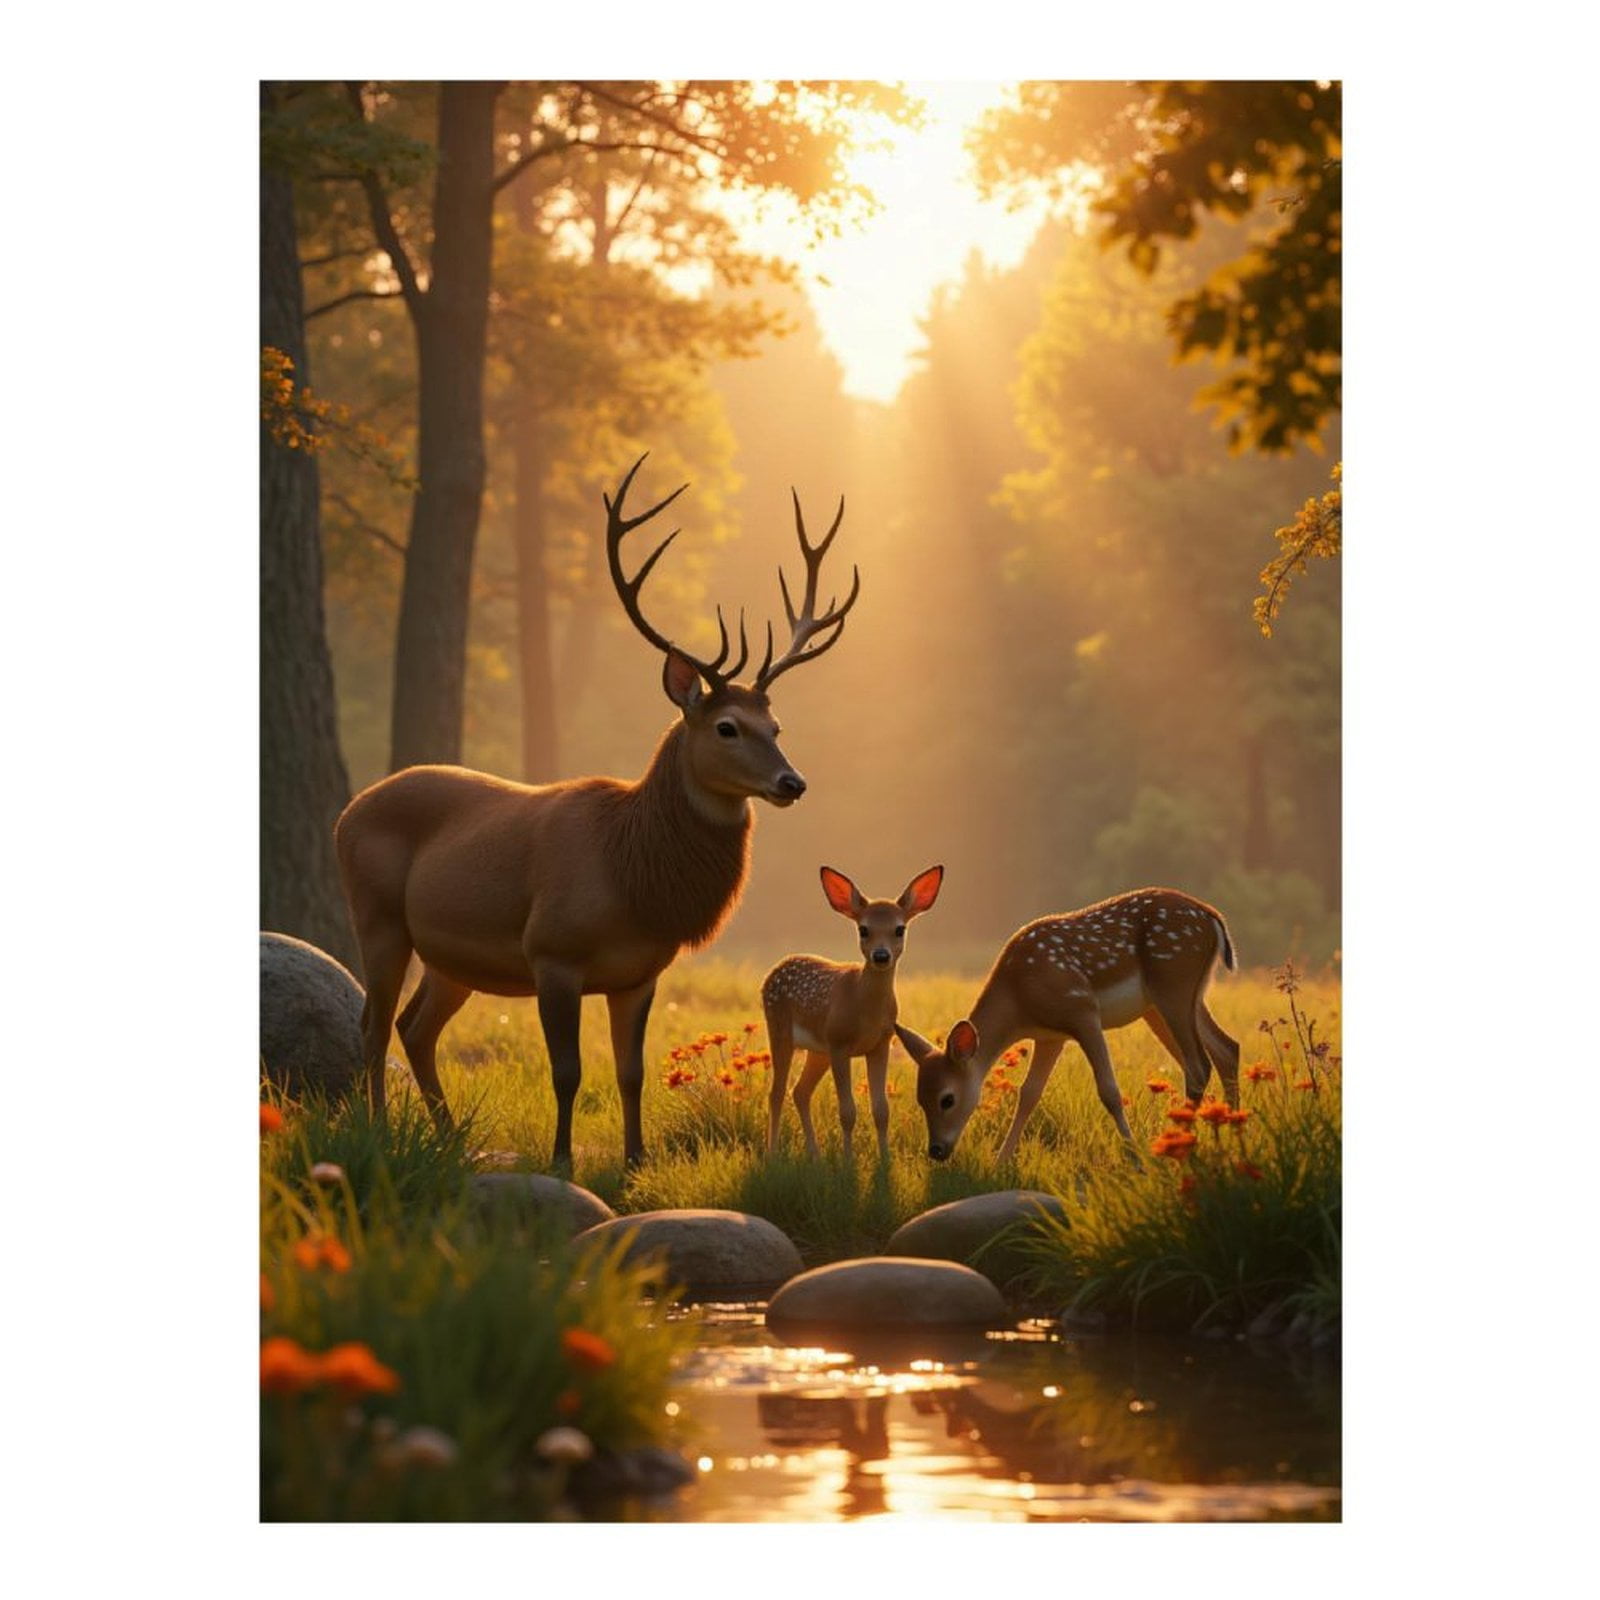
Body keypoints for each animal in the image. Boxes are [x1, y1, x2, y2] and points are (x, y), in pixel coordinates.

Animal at [333, 453, 860, 1170]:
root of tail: (347, 812)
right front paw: (562, 1160)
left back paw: (448, 1138)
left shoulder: (639, 973)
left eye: (776, 725)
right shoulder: (552, 950)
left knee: (415, 1029)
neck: (632, 875)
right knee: (373, 1024)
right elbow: (568, 1071)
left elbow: (630, 1072)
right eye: (727, 727)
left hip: (450, 957)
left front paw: (636, 1160)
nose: (793, 781)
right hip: (379, 916)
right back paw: (384, 1134)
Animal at [762, 865, 944, 1161]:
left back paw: (815, 1155)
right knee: (776, 1092)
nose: (881, 955)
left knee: (800, 1091)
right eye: (863, 929)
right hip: (779, 1028)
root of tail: (777, 966)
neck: (865, 1010)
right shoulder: (839, 1043)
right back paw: (773, 1153)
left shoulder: (880, 1044)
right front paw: (848, 1160)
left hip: (818, 1049)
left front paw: (885, 1160)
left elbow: (881, 1110)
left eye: (899, 929)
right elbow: (847, 1112)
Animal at [893, 888, 1239, 1164]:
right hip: (1175, 999)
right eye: (919, 1098)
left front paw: (1134, 1157)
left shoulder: (1081, 1009)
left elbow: (1109, 1091)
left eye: (947, 1099)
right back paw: (1232, 1135)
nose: (936, 1150)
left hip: (1173, 982)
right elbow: (1029, 1094)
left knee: (1199, 1064)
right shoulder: (1050, 1037)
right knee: (1226, 1049)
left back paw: (1175, 1148)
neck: (1019, 1000)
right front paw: (1001, 1161)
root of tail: (1214, 918)